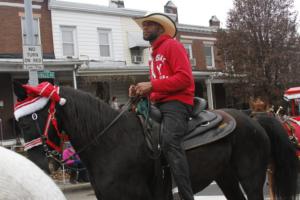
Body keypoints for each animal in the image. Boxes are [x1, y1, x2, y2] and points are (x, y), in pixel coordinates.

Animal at [14, 83, 298, 200]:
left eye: (34, 117)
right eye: (18, 122)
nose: (37, 164)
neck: (109, 141)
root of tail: (253, 117)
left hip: (251, 177)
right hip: (225, 176)